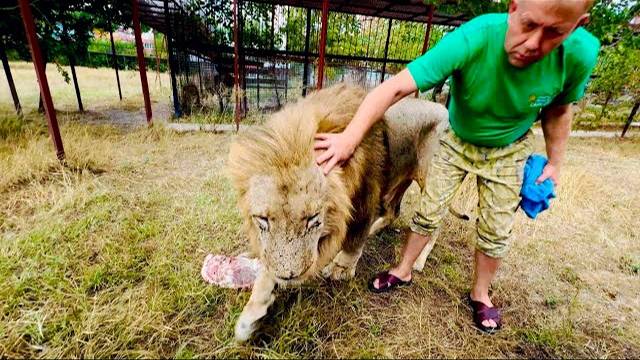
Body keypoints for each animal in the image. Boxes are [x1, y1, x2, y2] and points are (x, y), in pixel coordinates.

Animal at [228, 83, 448, 342]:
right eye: (263, 219)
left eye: (312, 219)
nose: (290, 276)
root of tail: (443, 108)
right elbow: (268, 264)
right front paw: (251, 315)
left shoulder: (365, 198)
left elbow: (354, 240)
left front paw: (339, 269)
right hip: (397, 182)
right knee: (393, 210)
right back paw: (377, 229)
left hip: (433, 180)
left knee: (433, 225)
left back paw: (419, 258)